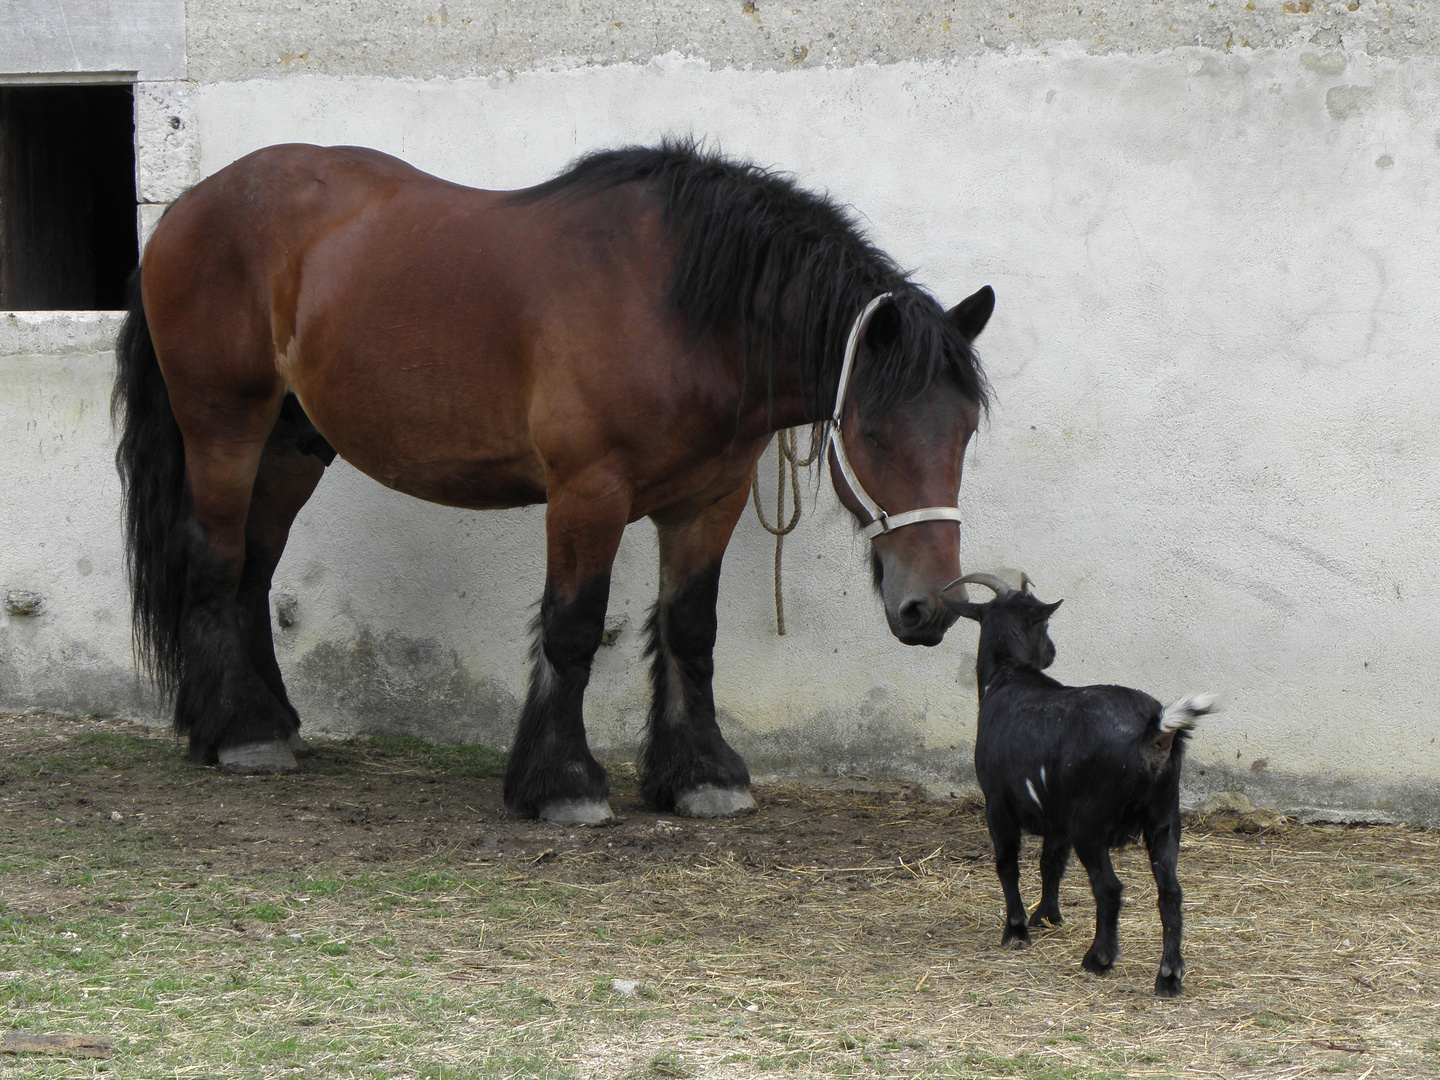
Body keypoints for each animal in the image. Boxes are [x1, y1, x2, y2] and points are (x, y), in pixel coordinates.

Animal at [112, 139, 996, 823]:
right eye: (873, 432)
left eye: (964, 432)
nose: (931, 607)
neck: (681, 309)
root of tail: (184, 209)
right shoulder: (586, 492)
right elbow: (572, 628)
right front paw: (562, 783)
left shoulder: (708, 501)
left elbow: (689, 629)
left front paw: (700, 775)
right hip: (224, 428)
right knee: (216, 564)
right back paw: (238, 734)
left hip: (294, 445)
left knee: (253, 573)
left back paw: (270, 721)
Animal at [944, 576, 1215, 996]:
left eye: (1045, 622)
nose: (1052, 652)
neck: (1006, 676)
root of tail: (1154, 730)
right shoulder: (1058, 817)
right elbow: (1051, 862)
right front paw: (1046, 915)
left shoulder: (998, 802)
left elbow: (1007, 864)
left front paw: (1016, 930)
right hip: (1164, 816)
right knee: (1170, 891)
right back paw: (1169, 975)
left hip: (1092, 821)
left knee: (1109, 887)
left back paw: (1099, 958)